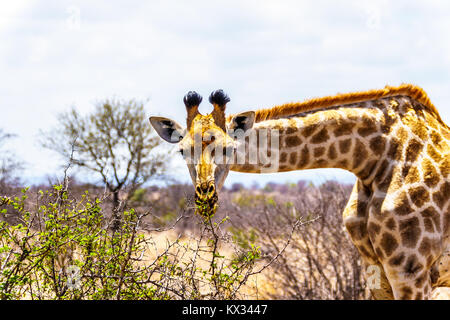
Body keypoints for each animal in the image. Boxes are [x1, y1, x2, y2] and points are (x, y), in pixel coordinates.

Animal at [151, 84, 450, 298]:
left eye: (228, 148)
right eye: (181, 151)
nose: (206, 198)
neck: (374, 158)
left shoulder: (413, 271)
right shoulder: (375, 269)